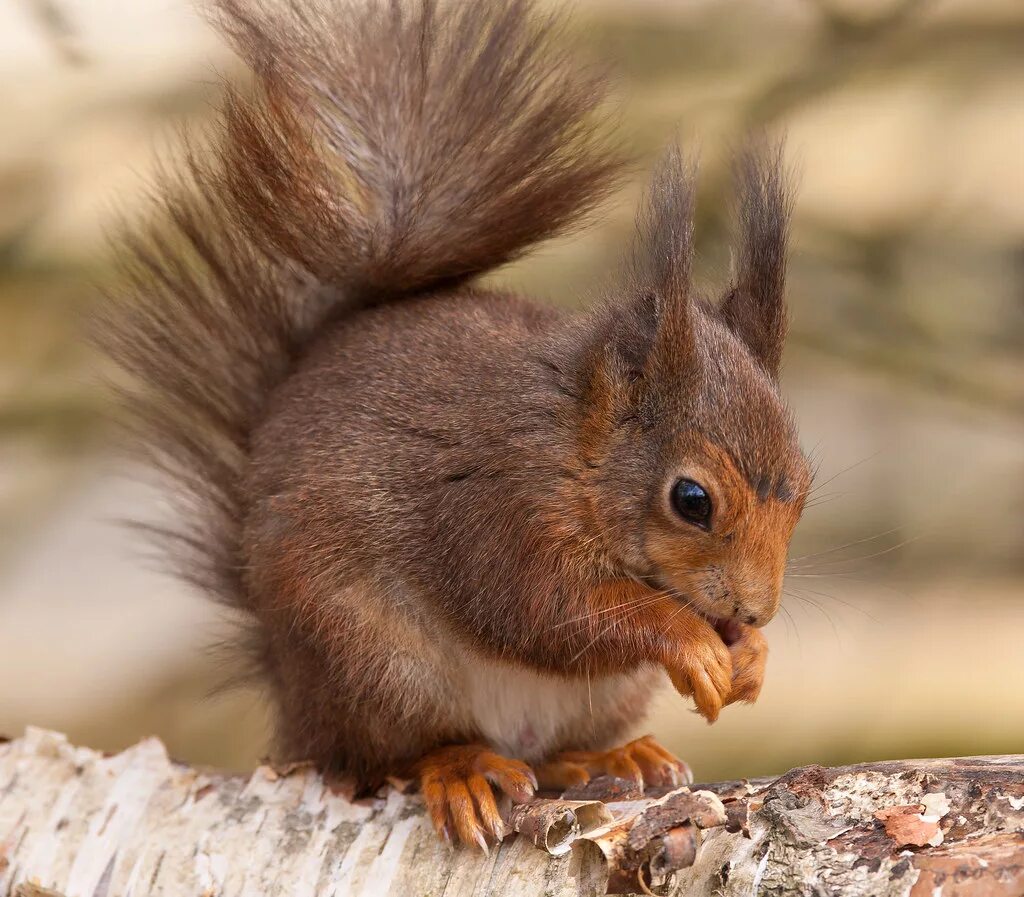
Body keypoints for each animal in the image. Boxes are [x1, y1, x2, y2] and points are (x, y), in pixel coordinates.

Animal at [101, 0, 806, 847]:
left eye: (804, 488)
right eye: (691, 499)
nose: (756, 609)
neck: (575, 448)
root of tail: (295, 701)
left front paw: (753, 654)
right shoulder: (495, 511)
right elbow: (548, 613)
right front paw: (690, 638)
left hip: (591, 695)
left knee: (550, 750)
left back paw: (611, 755)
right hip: (372, 658)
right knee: (395, 754)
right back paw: (461, 768)